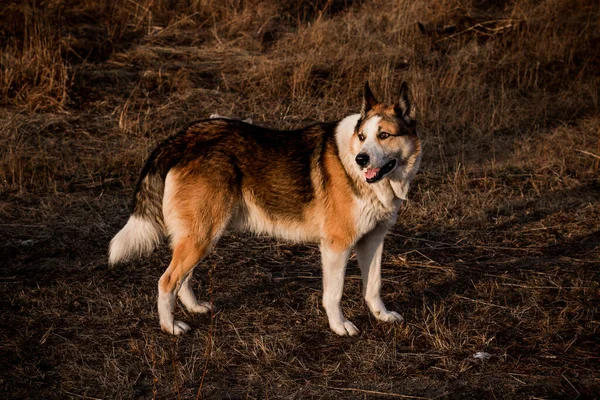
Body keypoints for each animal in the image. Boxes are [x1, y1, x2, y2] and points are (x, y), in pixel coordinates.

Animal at [108, 81, 422, 334]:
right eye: (362, 137)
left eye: (384, 135)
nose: (361, 159)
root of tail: (185, 137)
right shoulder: (337, 245)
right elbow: (333, 294)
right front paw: (339, 326)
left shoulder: (373, 240)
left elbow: (374, 286)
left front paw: (381, 316)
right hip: (202, 236)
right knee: (166, 281)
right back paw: (170, 327)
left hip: (199, 237)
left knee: (181, 279)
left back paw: (194, 308)